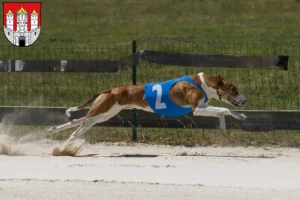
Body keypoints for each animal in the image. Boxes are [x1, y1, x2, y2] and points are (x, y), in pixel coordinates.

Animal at [48, 72, 247, 144]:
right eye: (234, 89)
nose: (244, 100)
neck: (204, 83)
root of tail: (111, 89)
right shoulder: (197, 109)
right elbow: (225, 110)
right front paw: (241, 116)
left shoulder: (204, 107)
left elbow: (221, 114)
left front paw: (224, 128)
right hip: (102, 110)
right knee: (78, 126)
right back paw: (66, 144)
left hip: (104, 114)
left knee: (78, 120)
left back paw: (53, 130)